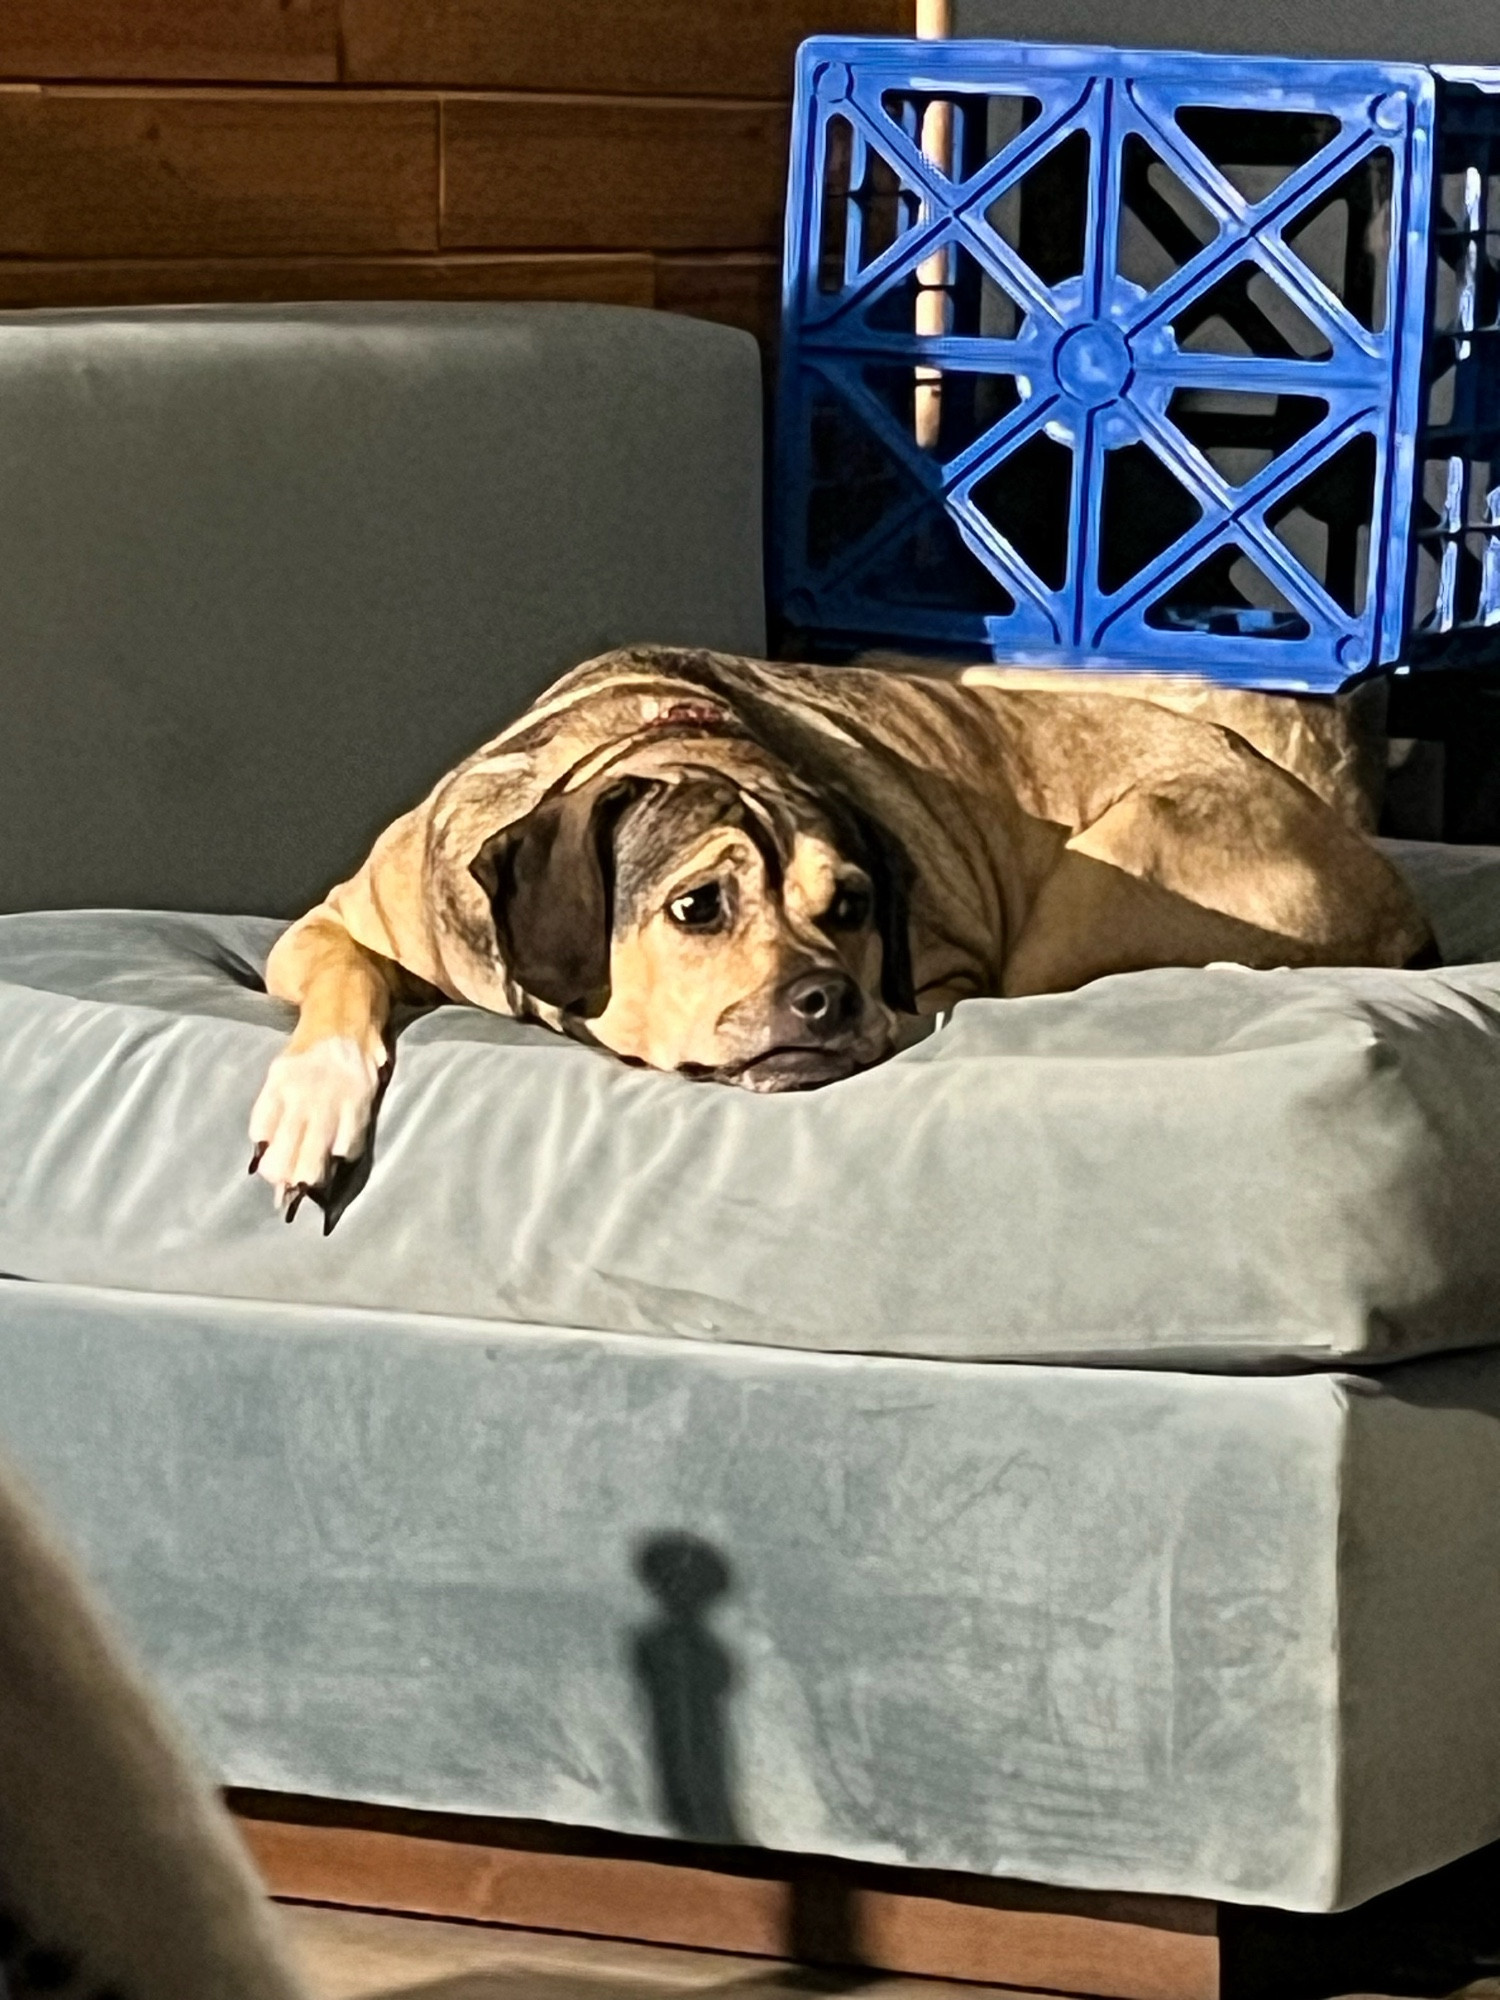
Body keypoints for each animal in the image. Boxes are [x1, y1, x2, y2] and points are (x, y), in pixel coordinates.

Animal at [250, 648, 1432, 1208]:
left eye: (852, 906)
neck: (649, 736)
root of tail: (1394, 894)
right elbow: (344, 980)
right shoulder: (325, 925)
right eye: (697, 906)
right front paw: (313, 1104)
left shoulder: (945, 967)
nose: (829, 997)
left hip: (1116, 863)